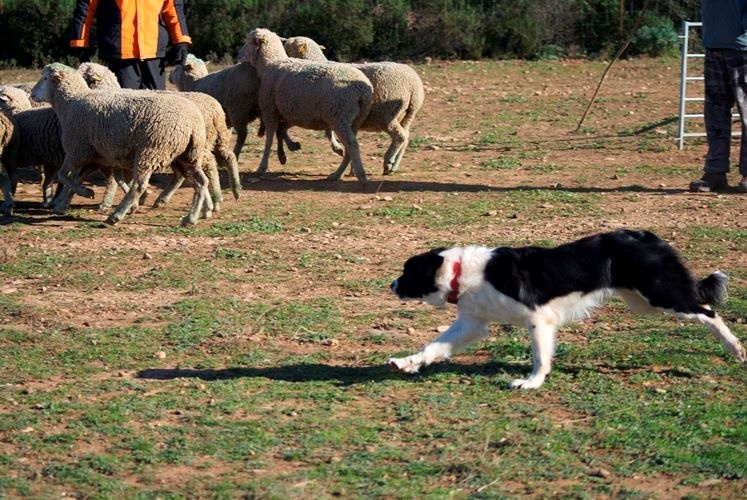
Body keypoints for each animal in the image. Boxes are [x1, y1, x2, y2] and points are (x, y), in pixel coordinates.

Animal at [31, 64, 212, 227]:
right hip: (187, 155)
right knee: (201, 182)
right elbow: (81, 178)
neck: (71, 103)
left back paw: (116, 215)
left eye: (45, 78)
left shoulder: (77, 151)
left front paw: (86, 192)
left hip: (150, 151)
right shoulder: (95, 157)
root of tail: (192, 122)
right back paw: (192, 218)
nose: (32, 93)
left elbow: (63, 175)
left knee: (139, 185)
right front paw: (66, 201)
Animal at [241, 27, 372, 184]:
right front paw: (288, 150)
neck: (270, 64)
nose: (238, 56)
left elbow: (270, 139)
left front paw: (262, 167)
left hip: (340, 116)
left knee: (352, 145)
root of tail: (363, 90)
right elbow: (281, 131)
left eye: (249, 42)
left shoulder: (270, 110)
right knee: (349, 147)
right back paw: (337, 174)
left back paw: (359, 175)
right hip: (354, 119)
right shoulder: (292, 112)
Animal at [282, 36, 424, 175]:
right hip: (408, 114)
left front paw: (338, 149)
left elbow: (329, 132)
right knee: (406, 137)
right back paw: (394, 165)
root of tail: (414, 86)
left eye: (288, 47)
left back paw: (388, 161)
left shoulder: (331, 108)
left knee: (400, 136)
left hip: (385, 114)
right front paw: (351, 168)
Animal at [388, 229, 744, 388]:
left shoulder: (538, 318)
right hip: (643, 302)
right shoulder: (471, 324)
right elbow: (433, 347)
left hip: (660, 296)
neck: (462, 271)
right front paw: (404, 363)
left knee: (708, 311)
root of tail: (648, 237)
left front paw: (531, 382)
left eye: (407, 272)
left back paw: (736, 349)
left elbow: (540, 356)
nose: (390, 285)